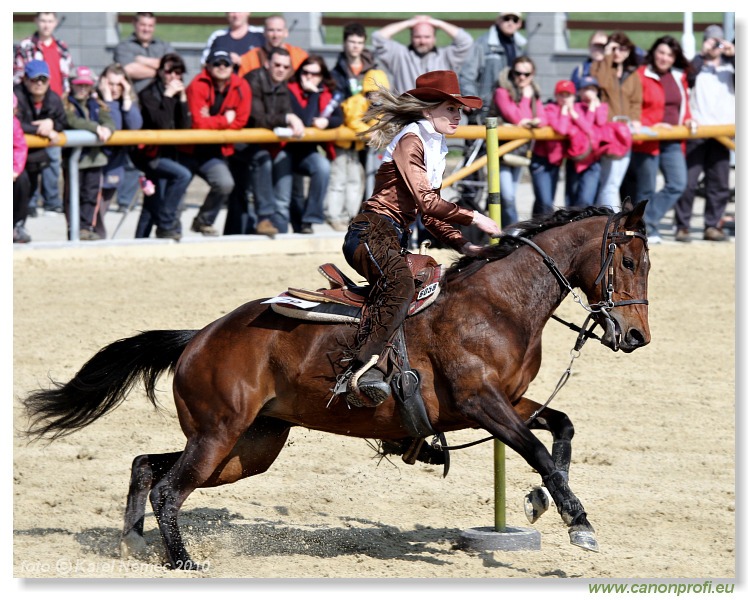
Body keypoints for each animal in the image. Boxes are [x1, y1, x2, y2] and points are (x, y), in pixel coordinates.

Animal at [23, 200, 652, 568]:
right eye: (627, 260)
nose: (637, 335)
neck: (497, 305)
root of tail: (198, 336)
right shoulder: (484, 404)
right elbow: (539, 451)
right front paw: (578, 521)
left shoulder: (507, 402)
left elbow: (561, 429)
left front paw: (544, 503)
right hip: (219, 435)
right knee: (169, 489)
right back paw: (182, 562)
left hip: (249, 446)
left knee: (147, 466)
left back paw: (134, 542)